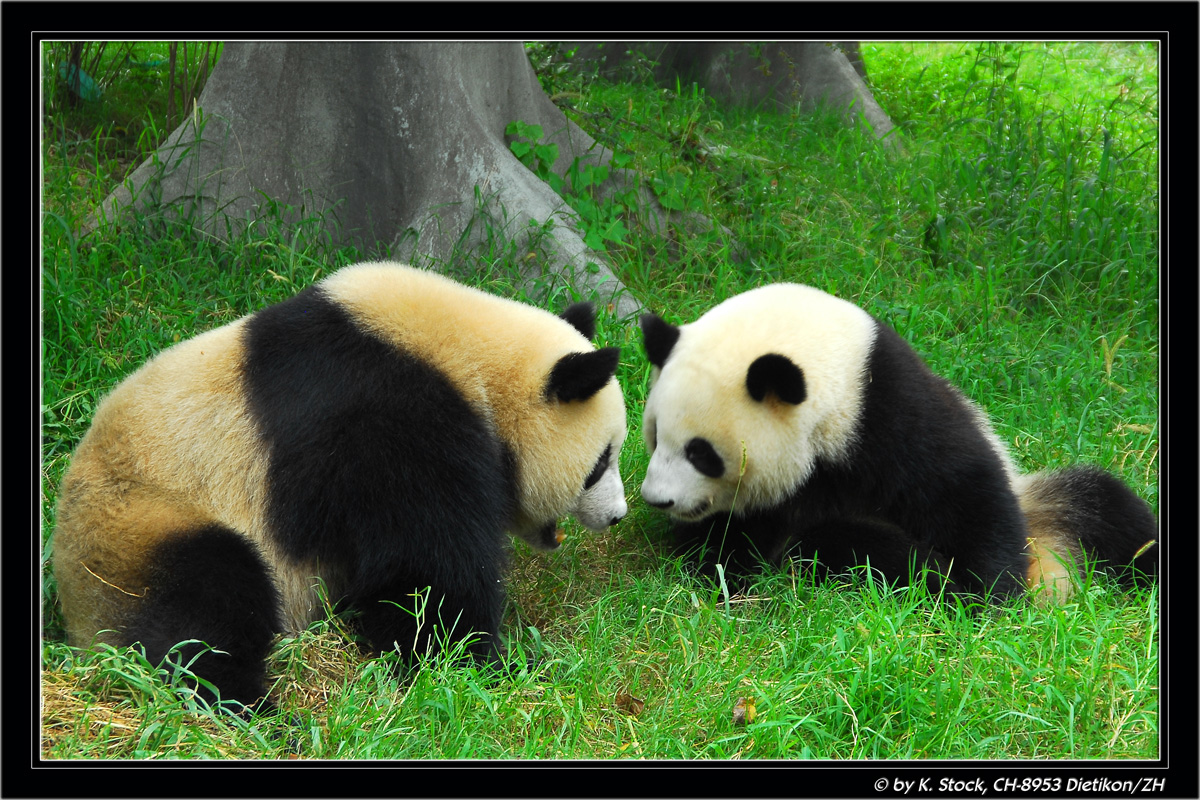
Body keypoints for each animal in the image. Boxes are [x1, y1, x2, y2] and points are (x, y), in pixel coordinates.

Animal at [52, 261, 628, 709]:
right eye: (602, 461)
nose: (617, 515)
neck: (473, 357)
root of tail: (77, 624)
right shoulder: (386, 423)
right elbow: (425, 569)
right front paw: (496, 663)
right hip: (140, 530)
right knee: (201, 611)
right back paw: (252, 709)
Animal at [639, 283, 1157, 603]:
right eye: (655, 437)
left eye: (701, 453)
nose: (656, 499)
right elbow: (730, 539)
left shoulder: (887, 409)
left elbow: (962, 488)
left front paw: (986, 594)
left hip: (1042, 502)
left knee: (1112, 514)